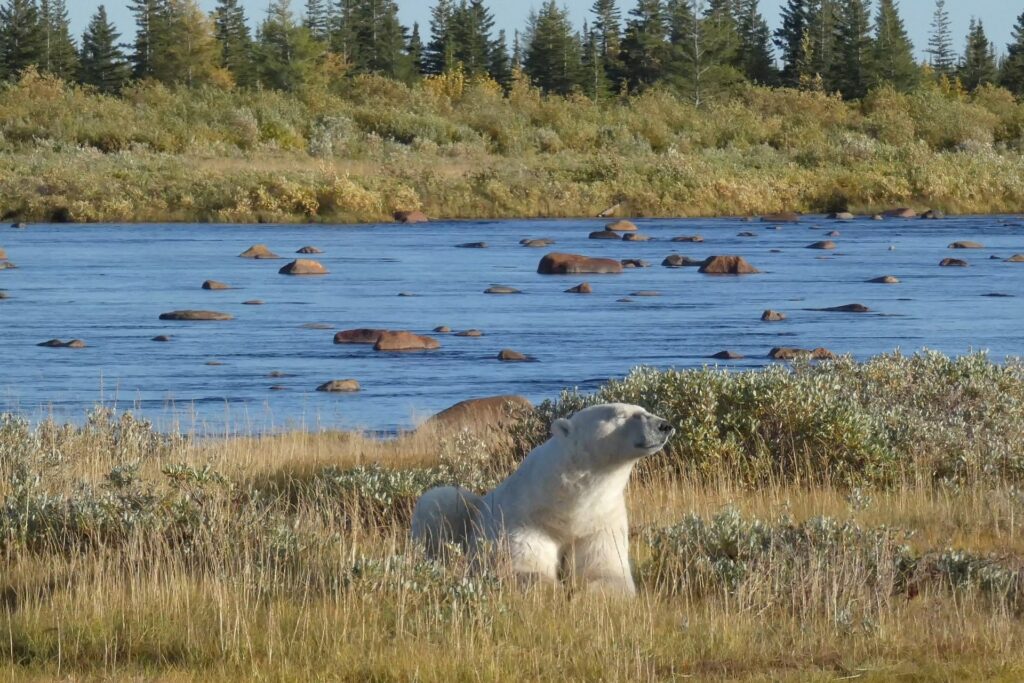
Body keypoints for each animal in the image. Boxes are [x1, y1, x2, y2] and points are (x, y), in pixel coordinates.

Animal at [411, 403, 675, 593]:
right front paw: (554, 592)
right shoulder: (524, 518)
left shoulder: (600, 520)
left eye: (645, 410)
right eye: (622, 415)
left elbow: (604, 569)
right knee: (440, 501)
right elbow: (523, 567)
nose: (665, 425)